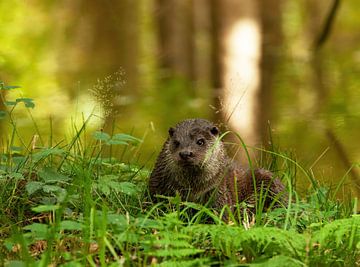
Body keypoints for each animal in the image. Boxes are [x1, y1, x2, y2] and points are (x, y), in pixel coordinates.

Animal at [149, 119, 286, 214]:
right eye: (176, 142)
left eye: (200, 141)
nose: (185, 153)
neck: (192, 189)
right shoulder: (156, 185)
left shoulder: (218, 190)